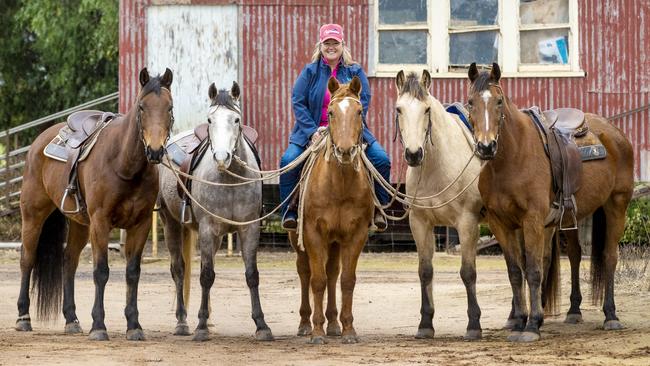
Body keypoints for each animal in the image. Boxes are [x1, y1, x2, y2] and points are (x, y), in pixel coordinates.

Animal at [15, 66, 175, 340]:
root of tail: (39, 141)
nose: (155, 151)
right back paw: (23, 318)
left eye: (170, 107)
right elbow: (101, 271)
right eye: (142, 107)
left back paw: (71, 319)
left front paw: (134, 325)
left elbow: (133, 272)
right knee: (28, 258)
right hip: (34, 214)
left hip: (80, 223)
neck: (124, 163)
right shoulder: (101, 222)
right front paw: (99, 325)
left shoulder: (140, 224)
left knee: (69, 261)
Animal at [158, 81, 272, 342]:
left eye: (236, 119)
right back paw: (183, 322)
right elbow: (206, 276)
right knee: (178, 270)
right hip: (171, 223)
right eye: (210, 120)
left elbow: (251, 275)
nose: (221, 157)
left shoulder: (249, 228)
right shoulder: (208, 228)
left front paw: (261, 325)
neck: (229, 179)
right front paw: (200, 327)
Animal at [288, 76, 372, 344]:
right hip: (298, 239)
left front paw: (348, 330)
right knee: (305, 272)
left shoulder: (355, 234)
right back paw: (305, 323)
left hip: (335, 241)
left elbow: (346, 280)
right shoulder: (313, 234)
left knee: (333, 273)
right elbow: (317, 281)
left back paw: (333, 324)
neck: (339, 184)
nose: (345, 151)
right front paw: (316, 332)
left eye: (359, 112)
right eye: (332, 112)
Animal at [392, 70, 484, 338]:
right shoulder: (420, 223)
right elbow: (425, 271)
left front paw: (474, 325)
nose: (414, 154)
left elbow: (468, 272)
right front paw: (425, 324)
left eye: (426, 109)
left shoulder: (467, 223)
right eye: (399, 109)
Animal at [466, 63, 632, 344]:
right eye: (470, 102)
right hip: (575, 216)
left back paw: (611, 315)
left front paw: (532, 325)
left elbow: (533, 270)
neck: (511, 159)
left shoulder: (532, 220)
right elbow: (515, 272)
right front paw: (519, 321)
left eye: (499, 101)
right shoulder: (501, 224)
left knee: (610, 256)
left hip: (616, 205)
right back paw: (574, 310)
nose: (486, 147)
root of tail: (615, 134)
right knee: (575, 255)